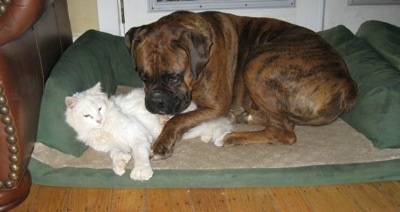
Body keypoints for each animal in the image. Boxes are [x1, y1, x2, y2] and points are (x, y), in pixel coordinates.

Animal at [63, 82, 231, 181]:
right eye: (87, 116)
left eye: (99, 109)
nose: (99, 120)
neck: (104, 129)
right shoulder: (113, 145)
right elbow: (115, 154)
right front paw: (120, 164)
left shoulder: (137, 136)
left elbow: (139, 155)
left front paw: (140, 171)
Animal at [124, 10, 356, 159]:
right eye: (143, 76)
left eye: (174, 77)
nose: (156, 101)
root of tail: (346, 81)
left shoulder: (216, 106)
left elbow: (178, 119)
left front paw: (162, 142)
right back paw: (247, 116)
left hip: (254, 65)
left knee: (284, 132)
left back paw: (232, 136)